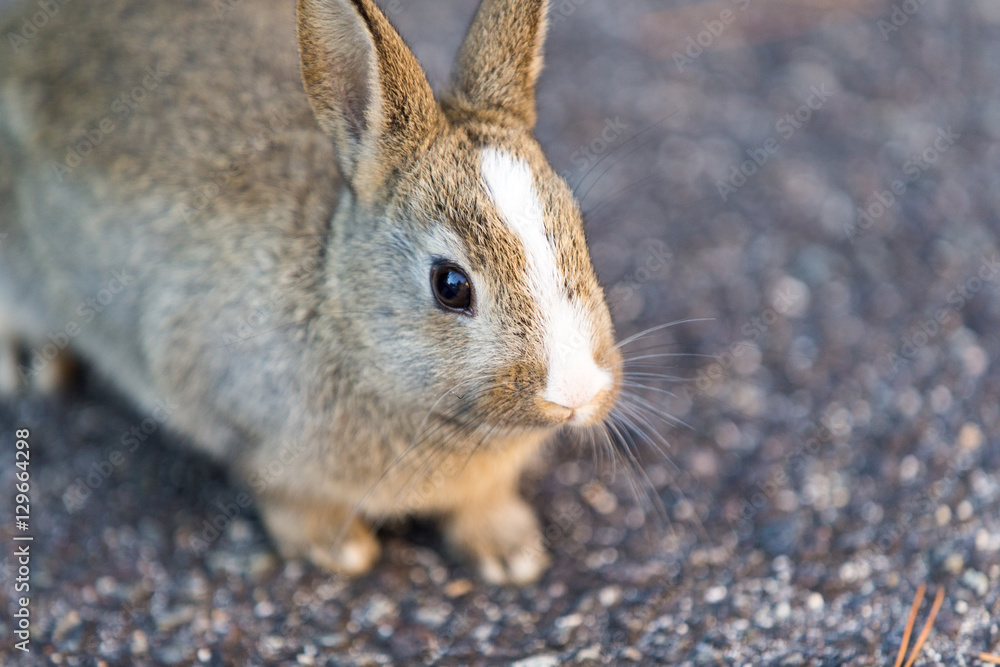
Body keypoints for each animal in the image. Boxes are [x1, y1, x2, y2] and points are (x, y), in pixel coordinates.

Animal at [0, 0, 622, 584]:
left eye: (577, 231)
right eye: (451, 286)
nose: (576, 391)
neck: (340, 316)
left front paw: (511, 552)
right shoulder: (231, 411)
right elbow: (281, 495)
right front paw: (340, 549)